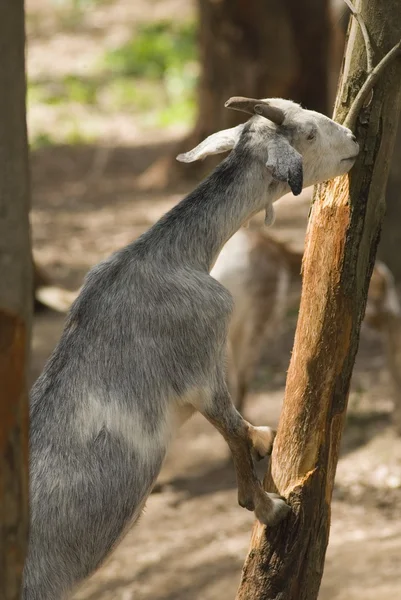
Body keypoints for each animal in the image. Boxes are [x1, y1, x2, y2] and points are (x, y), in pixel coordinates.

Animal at [23, 96, 358, 596]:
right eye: (308, 133)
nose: (354, 140)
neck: (174, 254)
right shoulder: (201, 361)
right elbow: (231, 430)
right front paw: (269, 506)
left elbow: (237, 429)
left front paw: (263, 438)